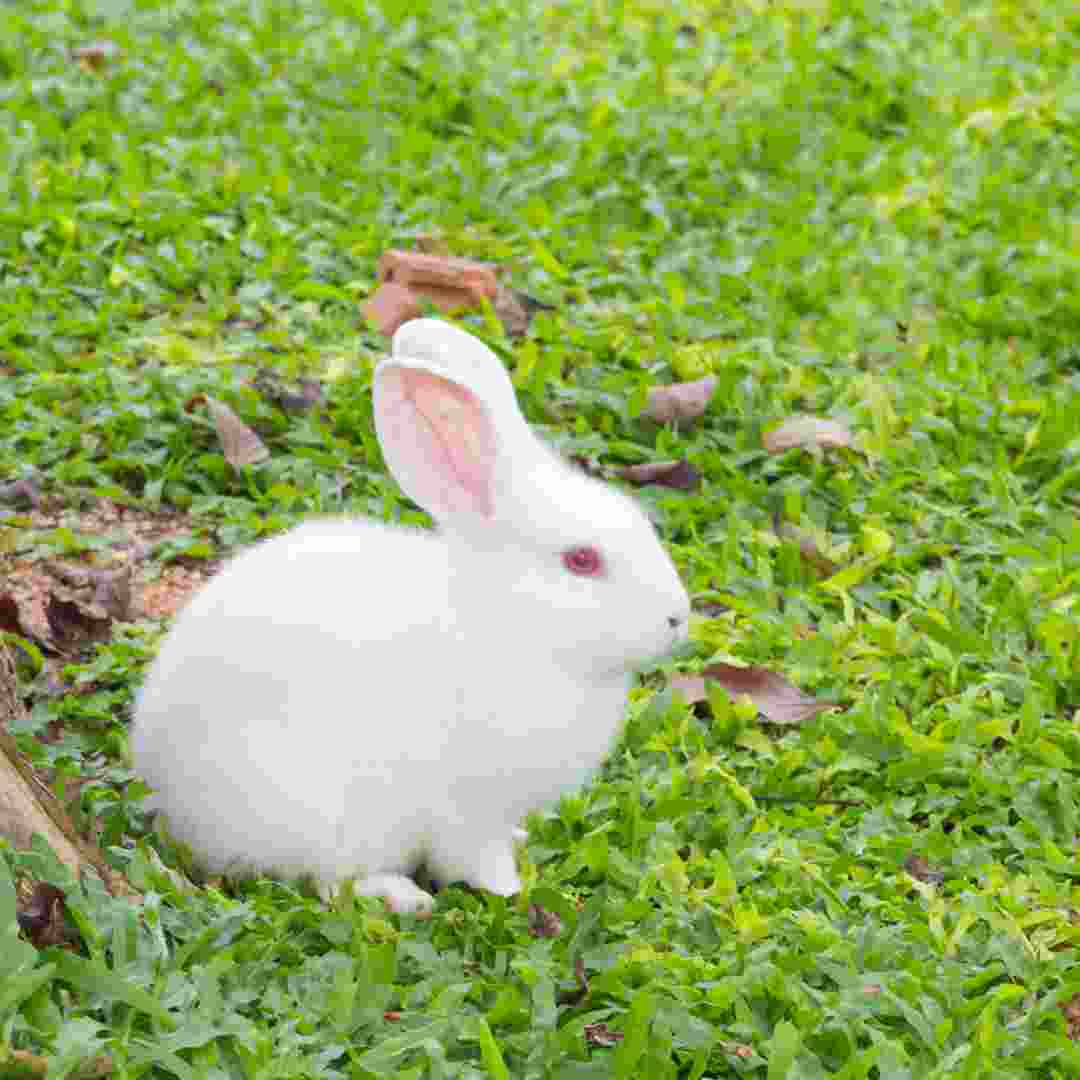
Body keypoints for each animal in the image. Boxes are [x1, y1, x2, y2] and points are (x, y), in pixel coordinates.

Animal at [132, 315, 691, 911]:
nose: (677, 617)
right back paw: (405, 898)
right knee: (331, 883)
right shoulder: (468, 810)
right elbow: (476, 856)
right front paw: (510, 887)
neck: (509, 621)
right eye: (582, 561)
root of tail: (166, 793)